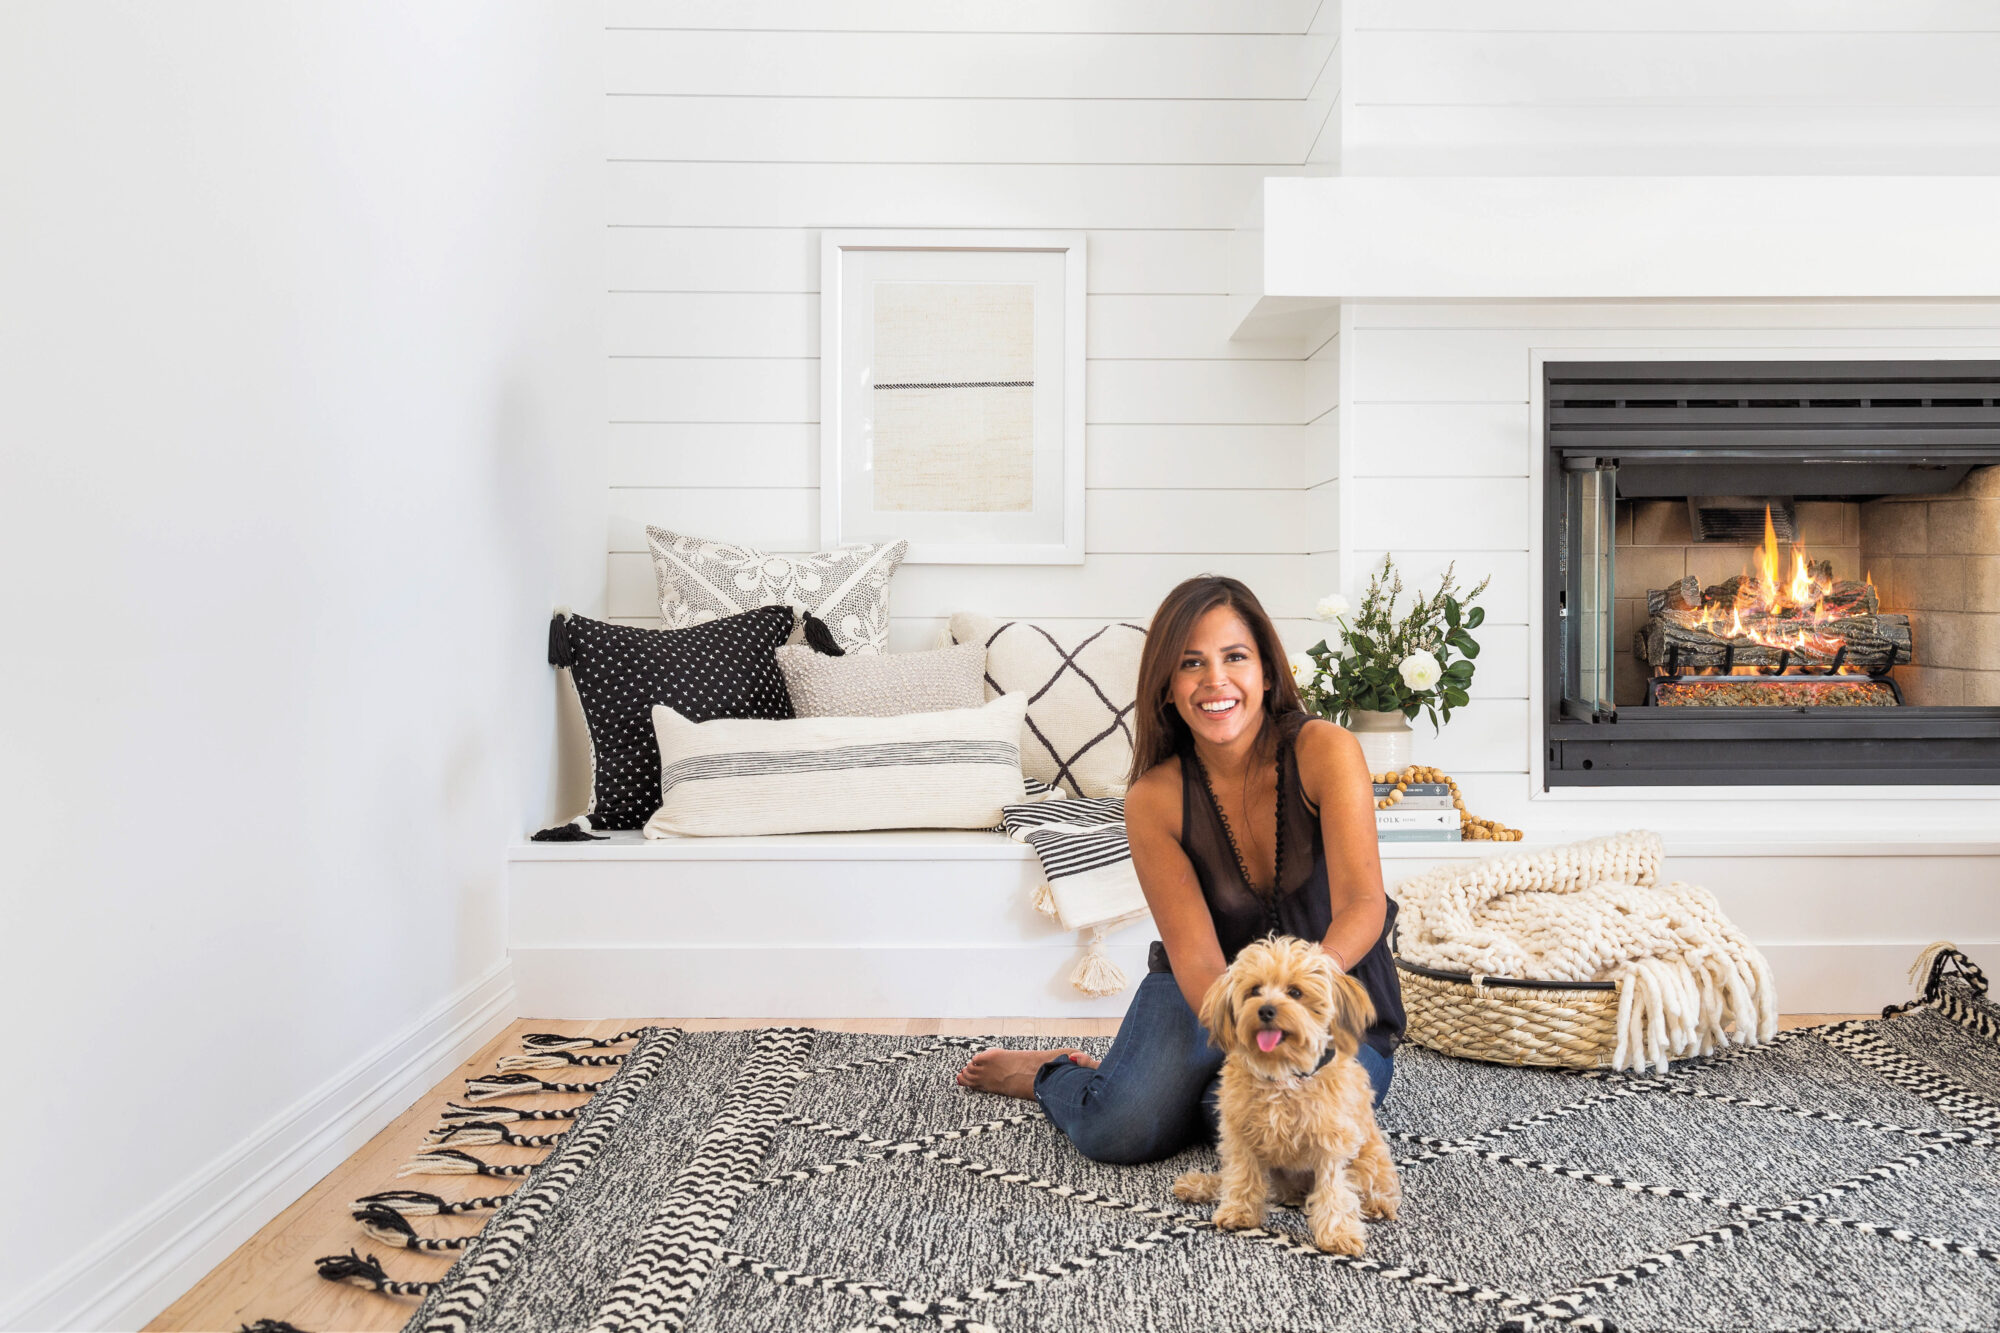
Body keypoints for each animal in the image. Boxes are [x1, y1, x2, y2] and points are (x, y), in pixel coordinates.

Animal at [1168, 928, 1392, 1248]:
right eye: (1254, 990)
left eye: (1295, 992)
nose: (1266, 1010)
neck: (1282, 1073)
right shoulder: (1240, 1132)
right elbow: (1242, 1174)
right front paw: (1239, 1211)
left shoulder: (1333, 1142)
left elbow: (1334, 1188)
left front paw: (1338, 1233)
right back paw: (1199, 1185)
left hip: (1369, 1155)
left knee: (1374, 1184)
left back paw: (1378, 1204)